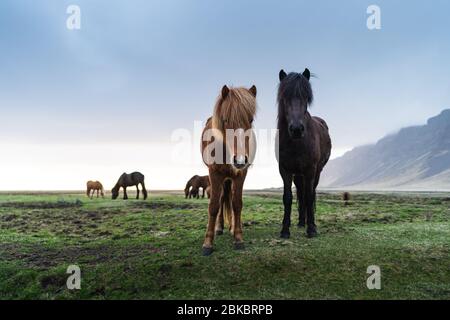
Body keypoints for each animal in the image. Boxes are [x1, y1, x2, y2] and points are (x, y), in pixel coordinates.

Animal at [200, 84, 256, 255]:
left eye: (251, 120)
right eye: (225, 120)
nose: (240, 160)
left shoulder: (240, 174)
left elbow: (237, 204)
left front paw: (238, 238)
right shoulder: (214, 174)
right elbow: (213, 206)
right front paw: (208, 243)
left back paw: (231, 228)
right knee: (222, 198)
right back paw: (219, 228)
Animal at [276, 69, 332, 239]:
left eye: (306, 98)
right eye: (284, 97)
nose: (296, 129)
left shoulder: (310, 170)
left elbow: (309, 196)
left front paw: (312, 228)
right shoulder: (285, 170)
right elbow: (288, 198)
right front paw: (285, 230)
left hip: (315, 172)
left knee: (309, 193)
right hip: (298, 175)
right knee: (301, 193)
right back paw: (301, 222)